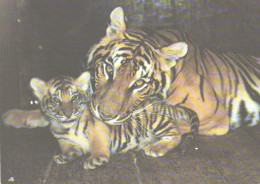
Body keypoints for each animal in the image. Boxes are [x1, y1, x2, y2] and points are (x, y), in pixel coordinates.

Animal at [2, 72, 199, 170]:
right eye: (56, 100)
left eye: (74, 98)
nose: (68, 113)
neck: (66, 126)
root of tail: (167, 106)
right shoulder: (62, 139)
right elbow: (67, 147)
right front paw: (66, 156)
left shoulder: (98, 128)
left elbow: (96, 144)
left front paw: (96, 159)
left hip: (154, 120)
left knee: (176, 135)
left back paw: (156, 147)